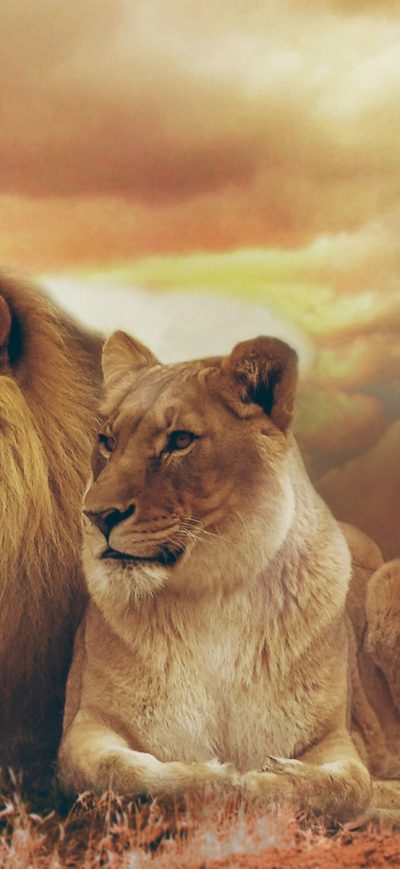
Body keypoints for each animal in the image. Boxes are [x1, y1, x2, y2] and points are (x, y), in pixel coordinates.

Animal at [58, 330, 375, 823]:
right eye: (107, 441)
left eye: (180, 440)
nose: (95, 515)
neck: (214, 592)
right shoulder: (87, 724)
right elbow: (119, 771)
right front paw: (215, 779)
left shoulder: (335, 738)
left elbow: (349, 786)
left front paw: (270, 781)